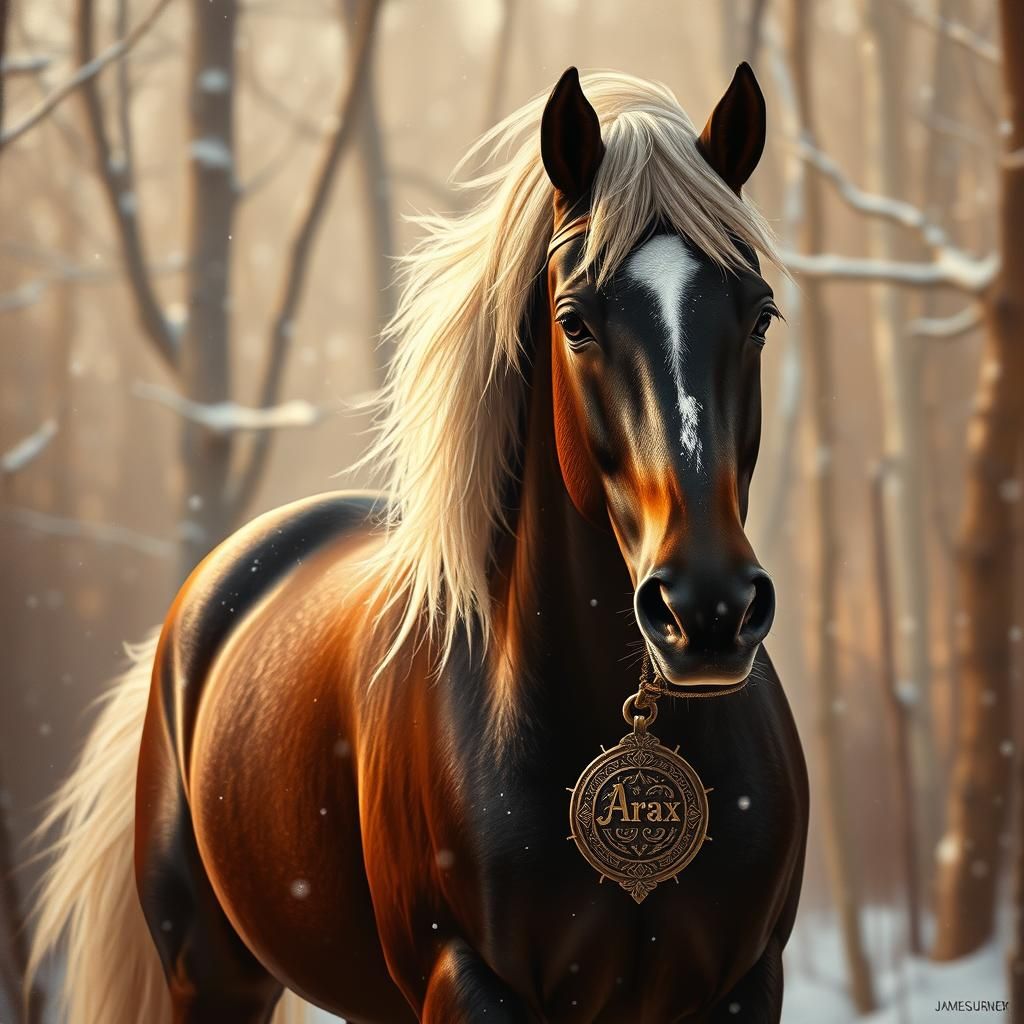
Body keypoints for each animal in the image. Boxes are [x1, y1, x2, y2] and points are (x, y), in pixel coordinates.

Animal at [30, 65, 808, 1024]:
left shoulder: (746, 982)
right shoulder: (464, 979)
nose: (707, 609)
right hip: (209, 973)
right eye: (575, 321)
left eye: (761, 314)